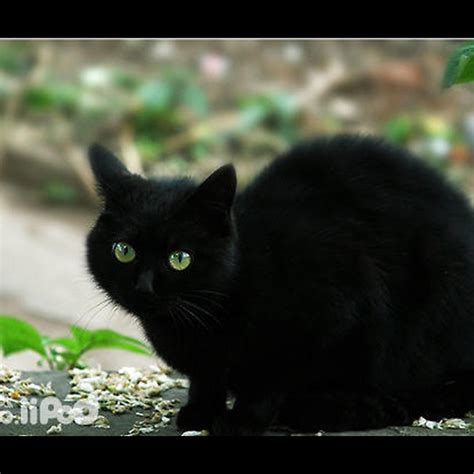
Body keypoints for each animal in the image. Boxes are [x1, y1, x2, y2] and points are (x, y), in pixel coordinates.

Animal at [85, 134, 474, 436]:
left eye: (180, 258)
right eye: (123, 251)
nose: (144, 287)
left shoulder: (333, 310)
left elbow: (270, 376)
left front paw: (242, 420)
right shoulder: (207, 365)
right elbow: (206, 379)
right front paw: (201, 411)